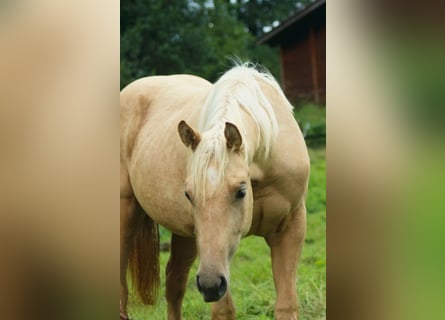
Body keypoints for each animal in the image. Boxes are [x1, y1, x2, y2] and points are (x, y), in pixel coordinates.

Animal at [121, 63, 308, 318]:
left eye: (241, 191)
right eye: (188, 195)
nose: (210, 285)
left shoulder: (290, 228)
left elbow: (287, 303)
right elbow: (224, 310)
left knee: (175, 281)